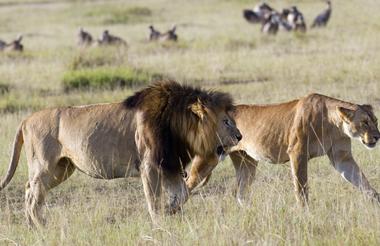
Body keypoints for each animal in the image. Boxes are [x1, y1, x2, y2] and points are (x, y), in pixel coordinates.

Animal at [0, 81, 242, 227]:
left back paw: (32, 226)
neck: (178, 127)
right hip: (44, 167)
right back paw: (42, 226)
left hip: (62, 169)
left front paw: (171, 213)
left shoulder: (170, 166)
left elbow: (182, 195)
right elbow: (153, 200)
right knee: (33, 196)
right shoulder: (150, 166)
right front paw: (159, 224)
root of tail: (26, 120)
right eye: (226, 121)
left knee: (29, 190)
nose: (240, 137)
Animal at [189, 93, 380, 206]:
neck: (334, 124)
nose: (378, 136)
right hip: (208, 160)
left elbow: (361, 180)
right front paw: (304, 213)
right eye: (364, 122)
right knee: (187, 183)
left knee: (240, 194)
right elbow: (301, 188)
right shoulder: (297, 152)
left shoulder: (342, 158)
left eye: (375, 121)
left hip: (246, 164)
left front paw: (376, 202)